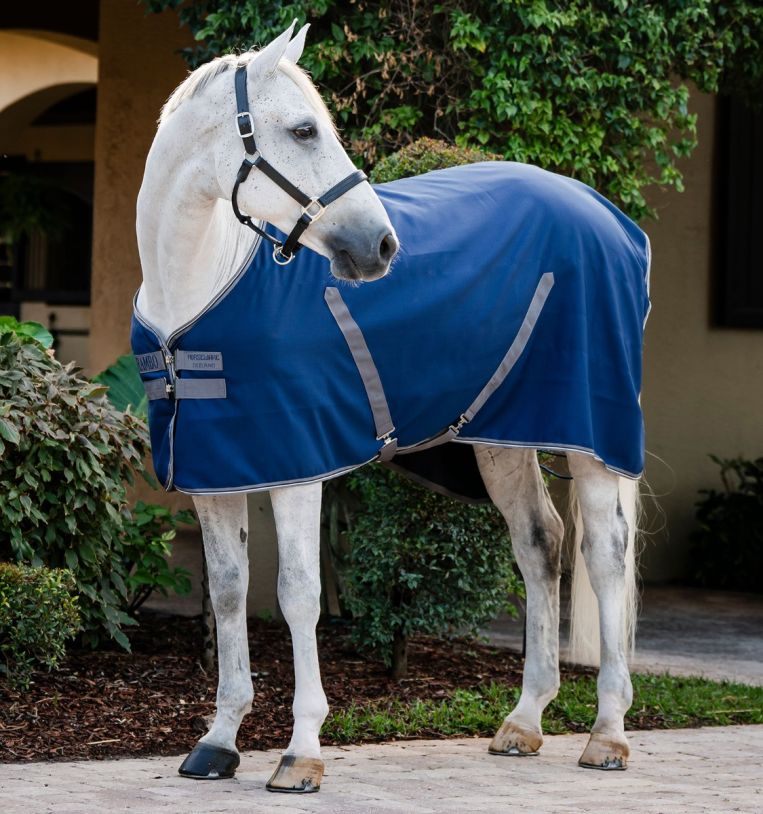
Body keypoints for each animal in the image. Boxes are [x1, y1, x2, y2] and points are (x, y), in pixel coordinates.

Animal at [134, 22, 647, 793]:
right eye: (304, 129)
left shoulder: (296, 469)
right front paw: (218, 742)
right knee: (539, 543)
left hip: (590, 438)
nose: (380, 247)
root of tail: (615, 221)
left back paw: (608, 732)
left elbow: (297, 593)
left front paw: (300, 752)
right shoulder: (214, 472)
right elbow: (228, 592)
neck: (198, 289)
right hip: (501, 438)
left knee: (605, 555)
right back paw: (523, 722)